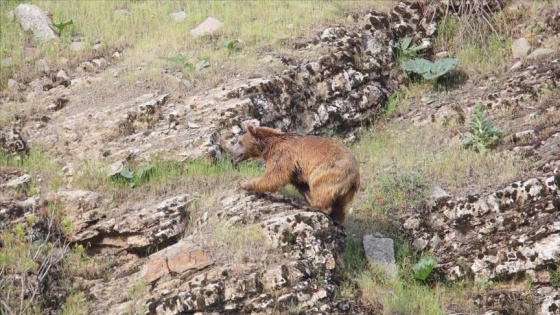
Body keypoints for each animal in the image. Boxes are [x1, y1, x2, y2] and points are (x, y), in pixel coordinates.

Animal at [230, 122, 360, 226]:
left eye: (239, 142)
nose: (230, 151)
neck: (268, 145)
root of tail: (355, 178)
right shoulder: (297, 171)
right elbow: (302, 185)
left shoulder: (283, 155)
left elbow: (275, 176)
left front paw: (245, 183)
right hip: (346, 191)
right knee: (340, 205)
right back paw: (336, 218)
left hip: (328, 171)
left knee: (321, 187)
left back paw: (311, 207)